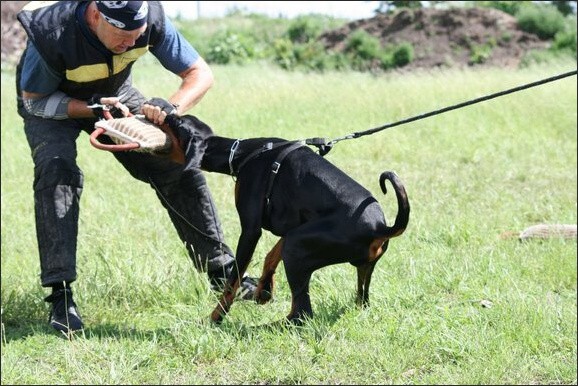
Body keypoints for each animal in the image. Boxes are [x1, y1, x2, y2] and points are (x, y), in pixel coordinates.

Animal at [164, 114, 410, 322]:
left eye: (178, 122)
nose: (167, 112)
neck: (239, 152)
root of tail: (380, 227)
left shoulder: (251, 231)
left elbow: (233, 281)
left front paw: (214, 318)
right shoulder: (295, 224)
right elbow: (270, 256)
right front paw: (263, 290)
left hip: (296, 248)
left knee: (301, 314)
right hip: (354, 265)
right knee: (361, 300)